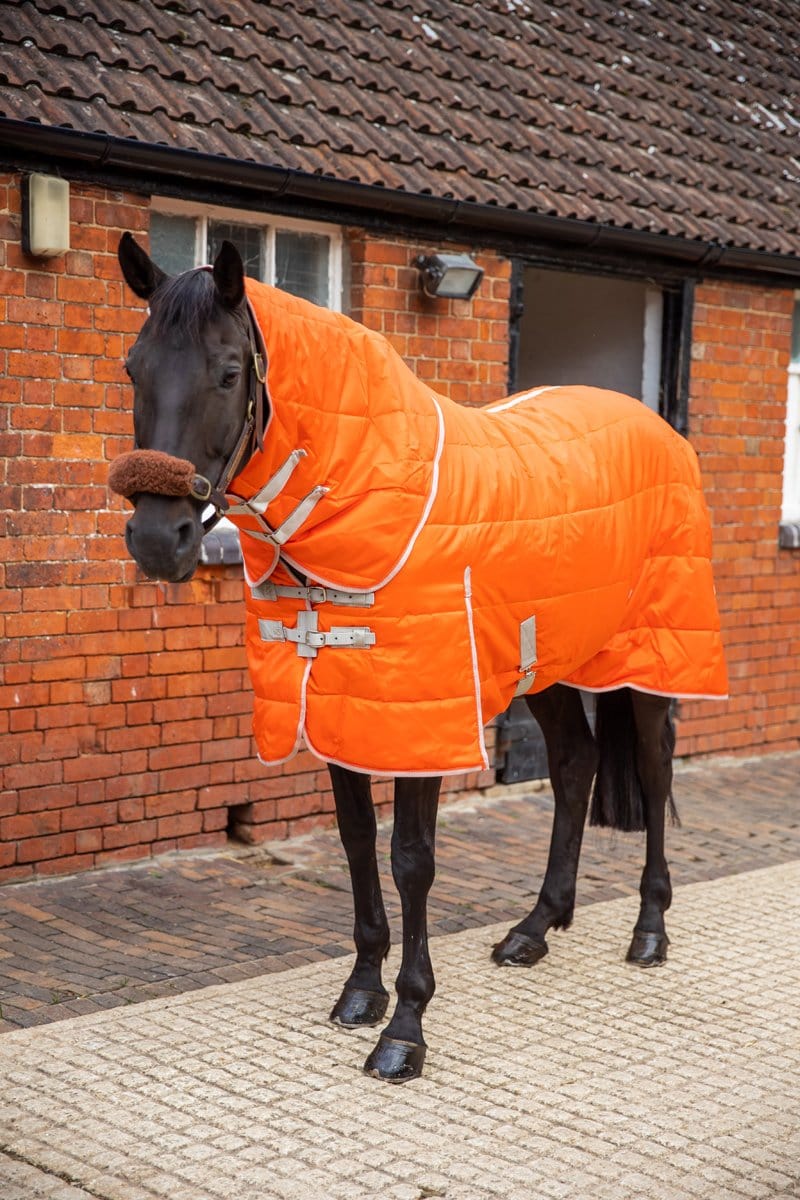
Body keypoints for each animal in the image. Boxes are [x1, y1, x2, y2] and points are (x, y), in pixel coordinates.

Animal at [110, 233, 726, 1082]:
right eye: (133, 368)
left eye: (229, 371)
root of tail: (660, 430)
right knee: (575, 765)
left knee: (657, 768)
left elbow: (411, 859)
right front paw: (361, 991)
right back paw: (535, 928)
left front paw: (405, 1027)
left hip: (646, 657)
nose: (156, 541)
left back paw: (650, 931)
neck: (369, 491)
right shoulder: (340, 708)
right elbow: (356, 842)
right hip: (544, 662)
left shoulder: (422, 719)